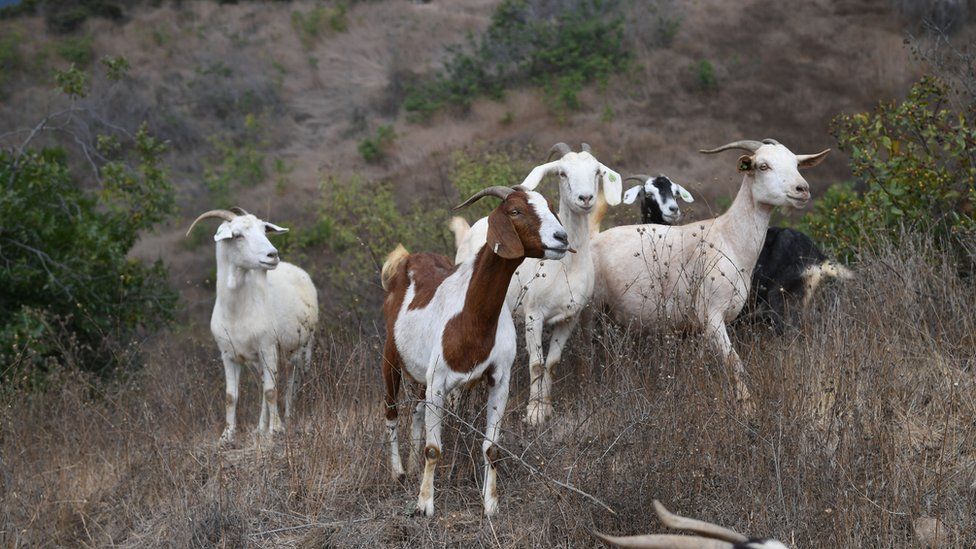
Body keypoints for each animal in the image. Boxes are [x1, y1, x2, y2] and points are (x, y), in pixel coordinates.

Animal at [185, 206, 318, 440]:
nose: (272, 255)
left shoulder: (268, 347)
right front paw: (227, 436)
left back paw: (287, 418)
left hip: (302, 349)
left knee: (293, 382)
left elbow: (271, 391)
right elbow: (231, 396)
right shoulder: (228, 354)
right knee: (267, 385)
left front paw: (276, 429)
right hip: (259, 360)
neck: (237, 313)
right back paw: (260, 428)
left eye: (264, 229)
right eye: (237, 235)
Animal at [378, 186, 568, 516]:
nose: (561, 237)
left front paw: (490, 503)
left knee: (416, 413)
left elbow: (491, 447)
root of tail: (406, 259)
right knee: (391, 412)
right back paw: (398, 473)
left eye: (550, 206)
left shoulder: (499, 380)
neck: (472, 315)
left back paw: (412, 467)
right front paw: (424, 505)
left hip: (420, 373)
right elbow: (434, 449)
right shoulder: (439, 382)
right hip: (391, 356)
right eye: (516, 211)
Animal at [448, 141, 620, 424]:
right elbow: (536, 362)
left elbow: (552, 362)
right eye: (562, 173)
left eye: (597, 171)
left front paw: (546, 408)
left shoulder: (568, 318)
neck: (566, 267)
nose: (585, 199)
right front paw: (533, 414)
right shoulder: (533, 315)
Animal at [592, 139, 828, 408]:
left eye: (796, 163)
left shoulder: (704, 325)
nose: (802, 189)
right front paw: (748, 407)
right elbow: (734, 363)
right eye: (763, 166)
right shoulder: (711, 316)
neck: (729, 240)